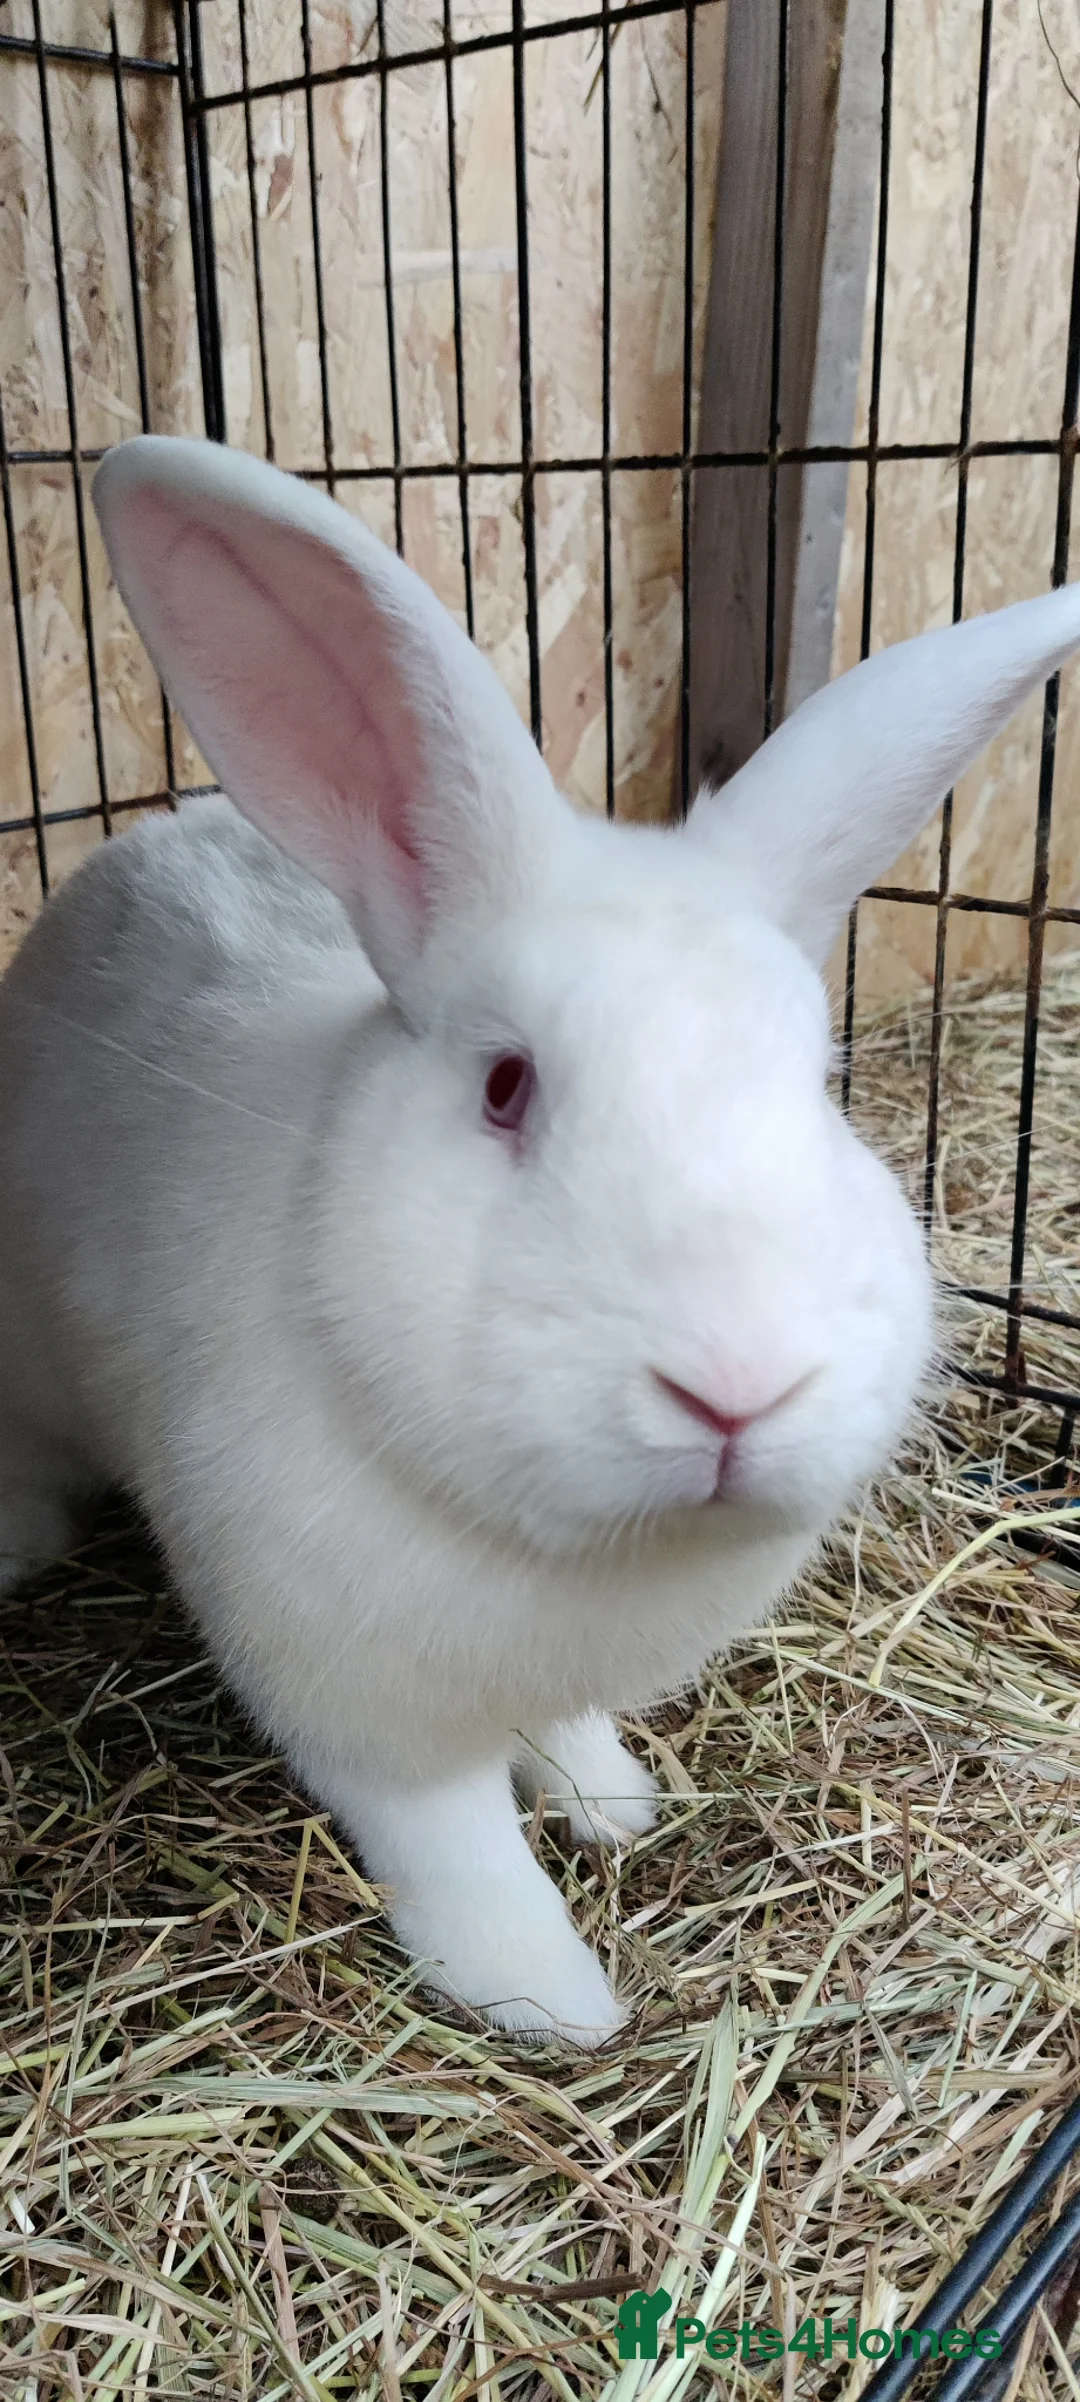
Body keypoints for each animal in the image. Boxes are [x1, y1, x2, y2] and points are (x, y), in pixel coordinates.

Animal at [1, 434, 1079, 2044]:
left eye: (821, 1084)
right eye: (507, 1087)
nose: (736, 1387)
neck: (573, 1552)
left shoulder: (555, 1675)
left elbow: (566, 1741)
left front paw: (615, 1805)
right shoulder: (362, 1710)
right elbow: (454, 1847)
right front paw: (549, 1996)